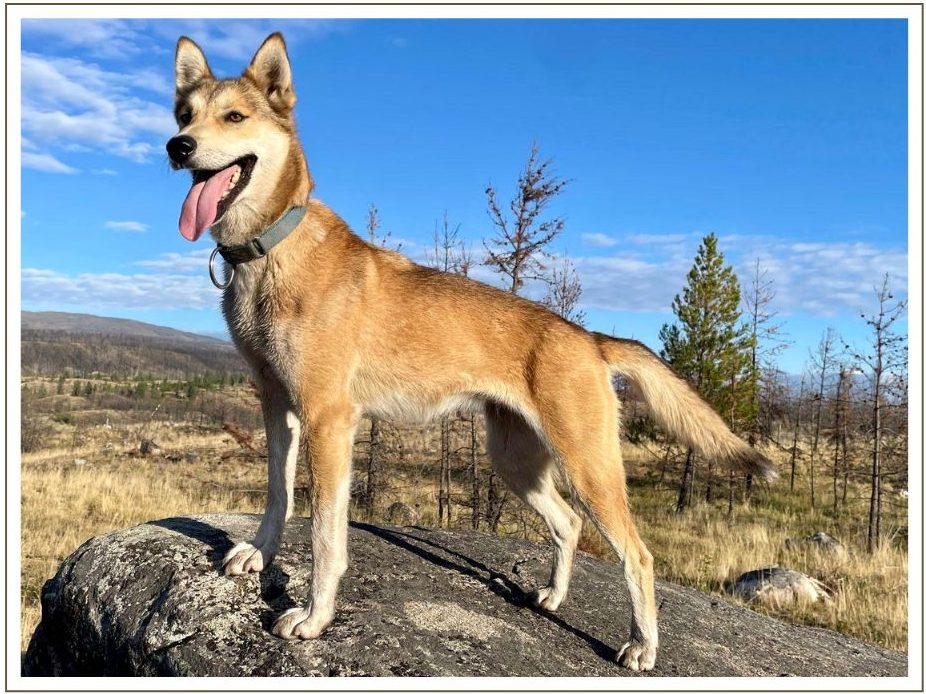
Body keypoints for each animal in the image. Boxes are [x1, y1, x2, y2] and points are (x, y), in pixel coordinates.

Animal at [165, 34, 776, 676]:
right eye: (185, 114)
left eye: (235, 117)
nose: (177, 147)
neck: (269, 253)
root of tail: (586, 337)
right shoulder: (278, 406)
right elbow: (277, 494)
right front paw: (259, 554)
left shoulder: (329, 421)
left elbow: (326, 536)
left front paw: (314, 617)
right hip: (516, 460)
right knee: (567, 524)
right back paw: (551, 596)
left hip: (589, 467)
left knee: (638, 554)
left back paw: (642, 645)